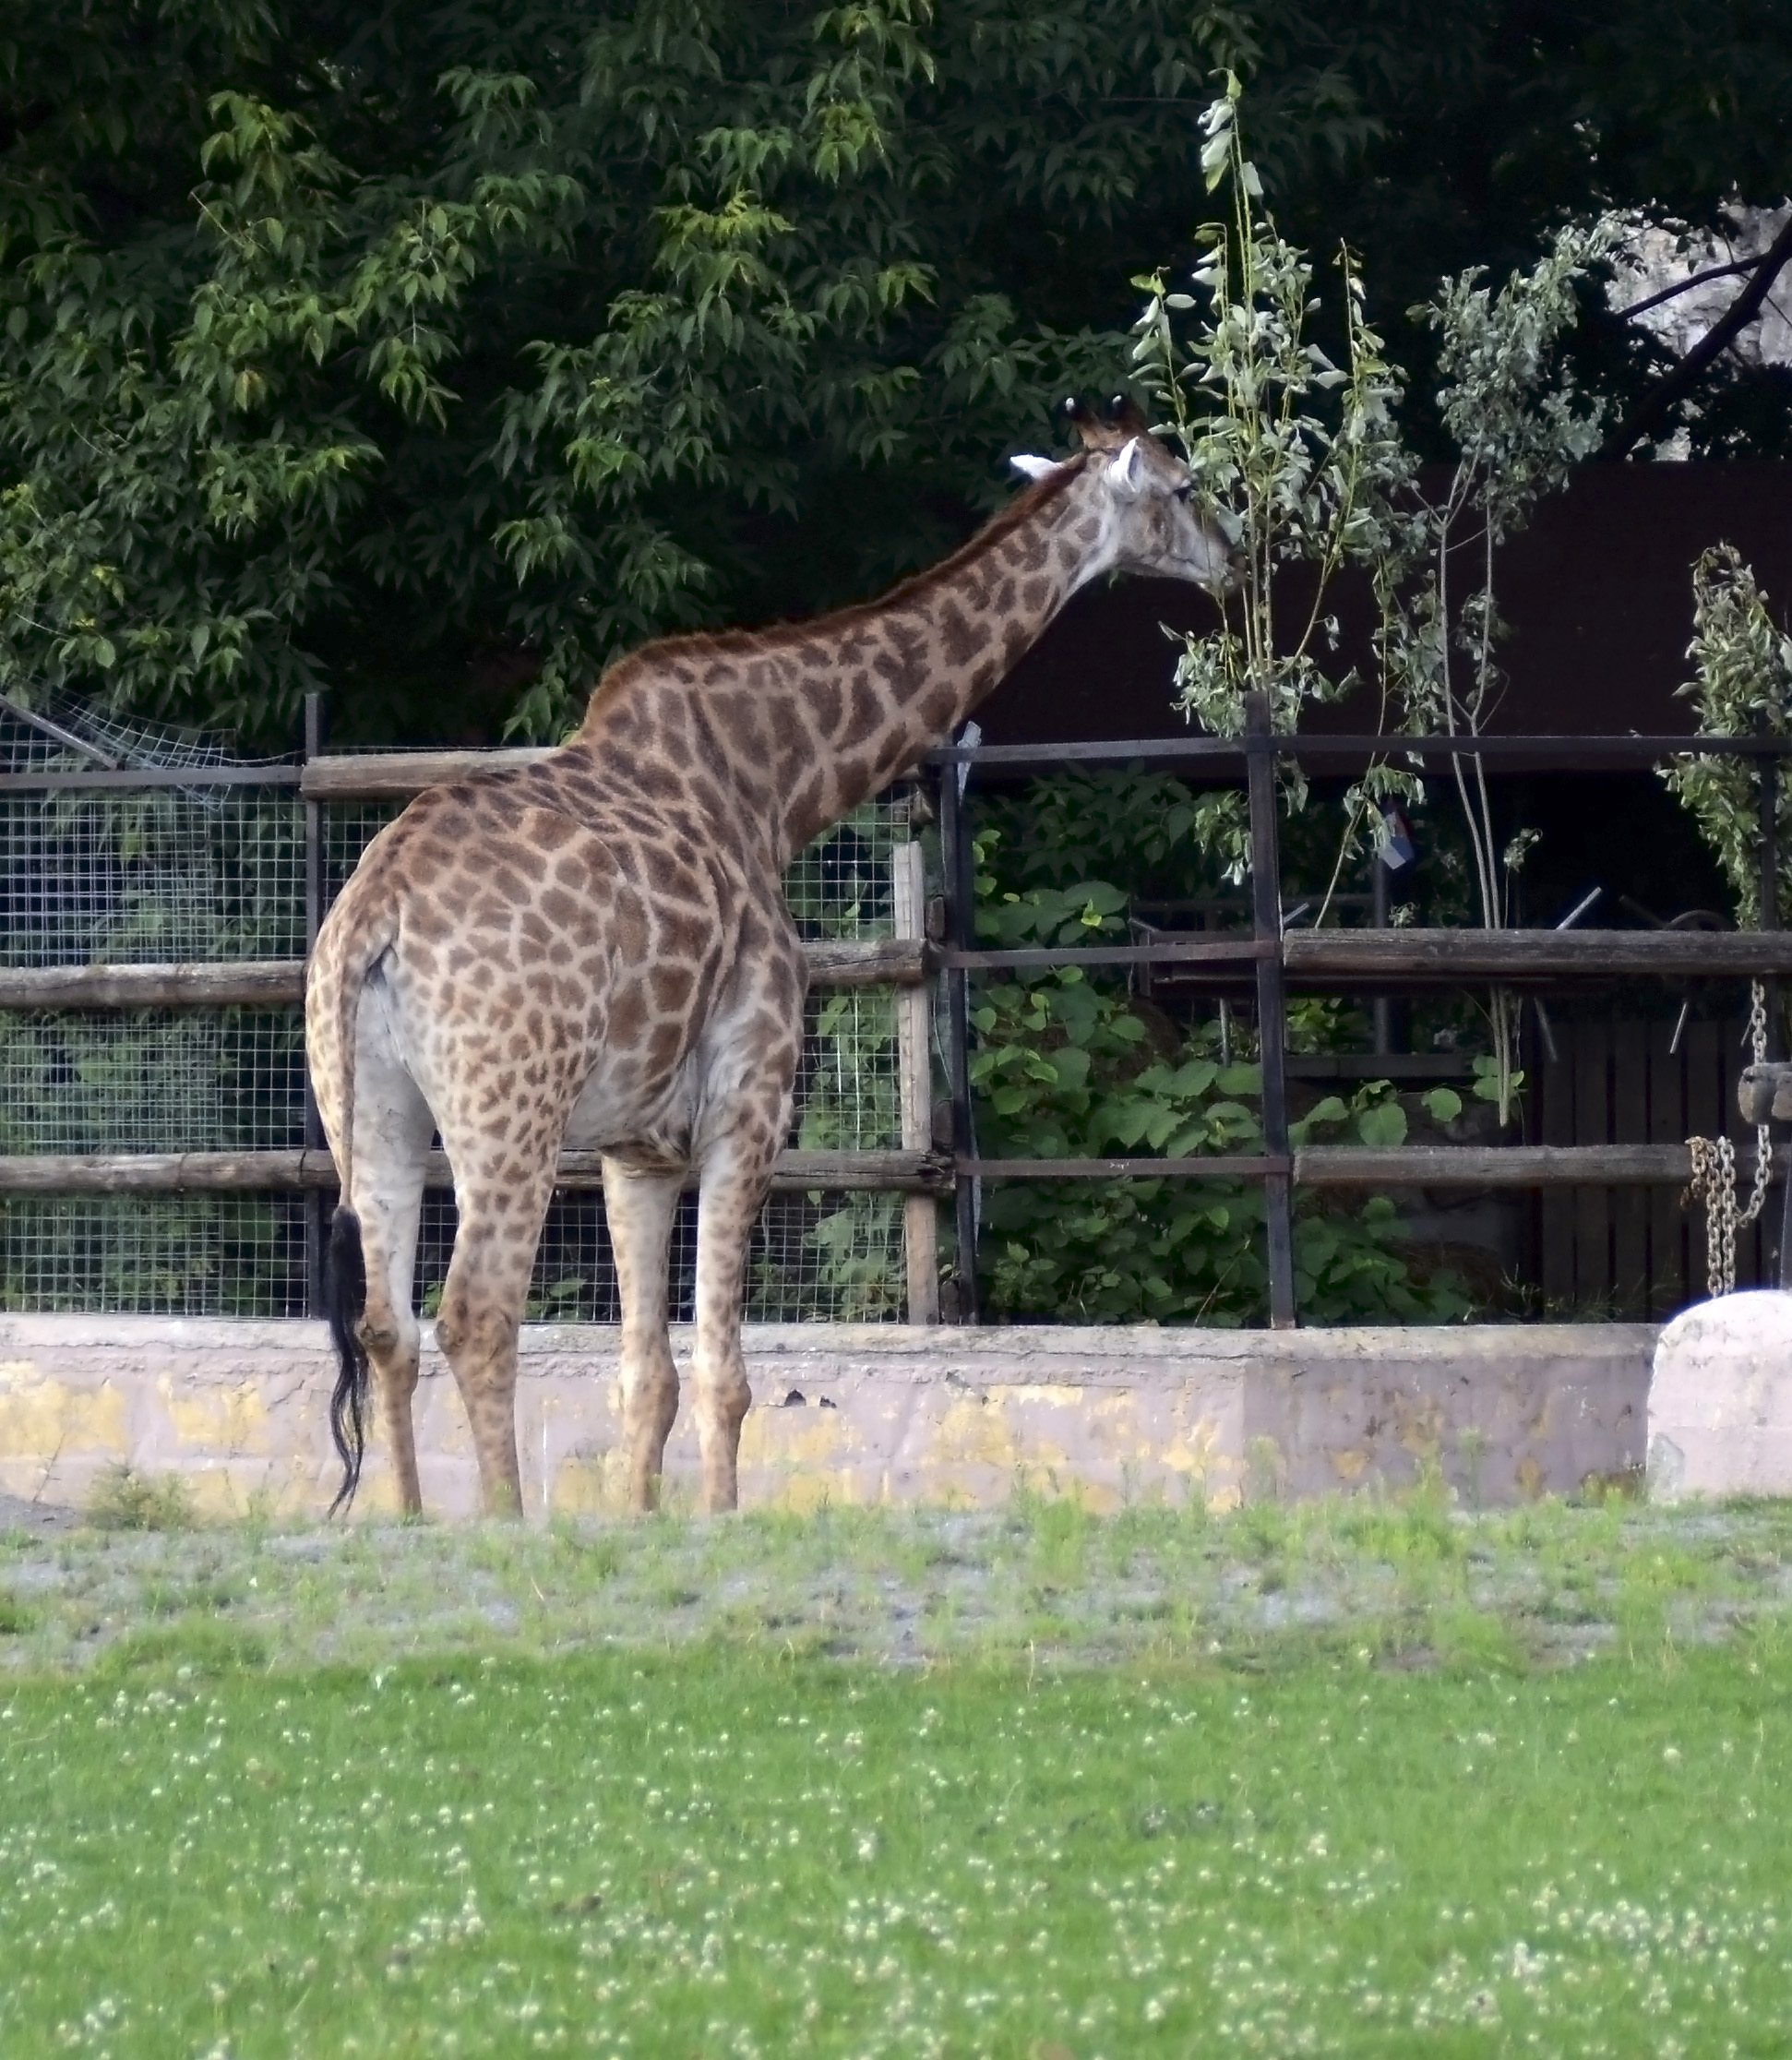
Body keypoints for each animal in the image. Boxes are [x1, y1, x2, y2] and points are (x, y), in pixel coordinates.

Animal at [305, 397, 1236, 1515]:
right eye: (1186, 486)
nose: (1234, 559)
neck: (780, 785)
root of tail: (377, 914)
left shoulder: (637, 1146)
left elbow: (648, 1376)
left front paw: (636, 1523)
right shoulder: (751, 1102)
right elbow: (726, 1375)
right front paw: (716, 1522)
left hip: (372, 1110)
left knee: (385, 1324)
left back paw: (405, 1524)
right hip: (509, 1110)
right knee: (475, 1315)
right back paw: (502, 1527)